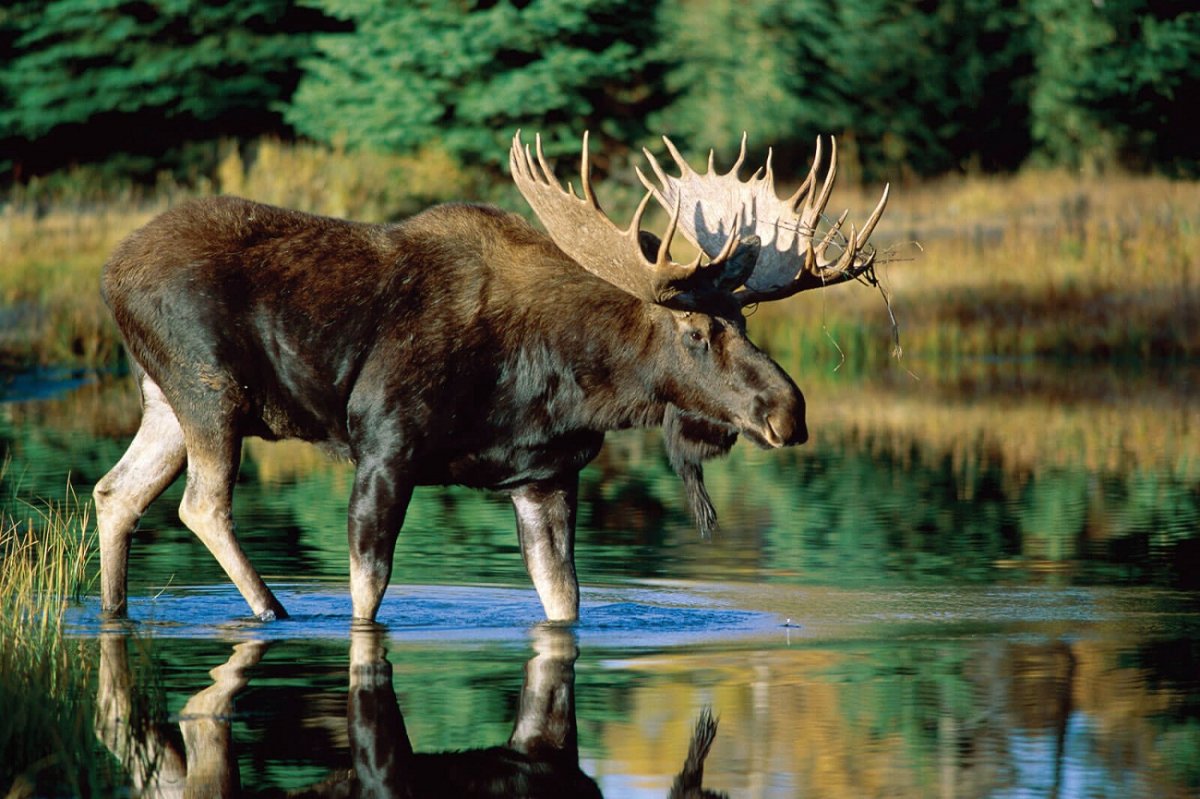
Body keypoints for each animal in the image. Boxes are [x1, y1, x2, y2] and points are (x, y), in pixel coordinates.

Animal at [93, 130, 888, 623]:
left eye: (745, 322)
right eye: (697, 332)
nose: (789, 411)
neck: (562, 381)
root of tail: (110, 273)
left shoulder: (544, 474)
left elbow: (564, 601)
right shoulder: (385, 445)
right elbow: (367, 594)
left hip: (165, 398)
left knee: (115, 491)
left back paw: (114, 611)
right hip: (208, 387)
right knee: (201, 503)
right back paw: (272, 611)